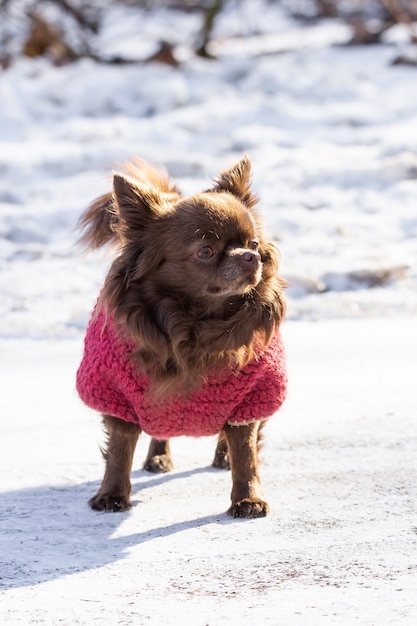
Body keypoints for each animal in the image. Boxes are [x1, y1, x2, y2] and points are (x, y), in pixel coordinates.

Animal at [75, 155, 286, 516]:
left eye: (254, 244)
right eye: (206, 251)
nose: (251, 256)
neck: (193, 323)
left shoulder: (252, 396)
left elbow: (245, 452)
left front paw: (247, 498)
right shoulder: (118, 394)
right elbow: (119, 449)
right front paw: (112, 494)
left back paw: (221, 456)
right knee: (159, 428)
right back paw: (158, 457)